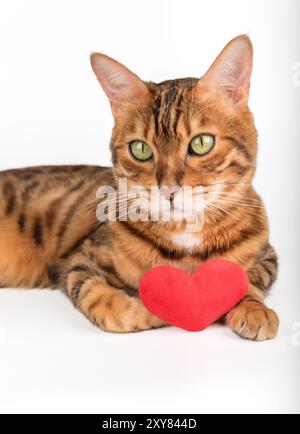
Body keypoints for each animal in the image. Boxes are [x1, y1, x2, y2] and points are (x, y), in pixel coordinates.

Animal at [0, 35, 278, 340]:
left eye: (201, 143)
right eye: (140, 149)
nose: (168, 189)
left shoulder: (268, 256)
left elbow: (249, 279)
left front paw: (254, 310)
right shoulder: (80, 262)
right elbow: (107, 305)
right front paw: (156, 309)